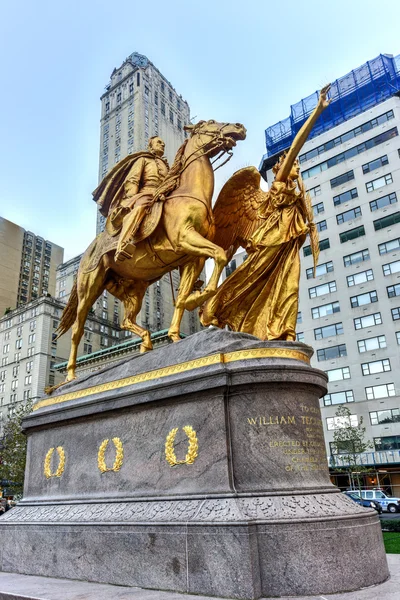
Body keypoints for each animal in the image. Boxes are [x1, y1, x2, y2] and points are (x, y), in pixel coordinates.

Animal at [55, 119, 244, 382]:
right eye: (209, 123)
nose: (239, 127)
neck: (188, 192)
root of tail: (86, 253)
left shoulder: (191, 258)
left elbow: (182, 295)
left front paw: (177, 330)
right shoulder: (185, 238)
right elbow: (220, 255)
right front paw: (200, 299)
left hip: (135, 288)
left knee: (125, 321)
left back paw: (146, 342)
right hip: (90, 287)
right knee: (78, 329)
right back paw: (71, 376)